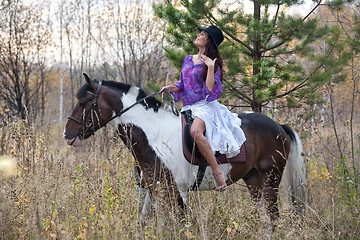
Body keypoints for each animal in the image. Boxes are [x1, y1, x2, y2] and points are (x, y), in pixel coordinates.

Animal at [64, 73, 306, 229]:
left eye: (84, 103)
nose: (68, 134)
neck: (154, 134)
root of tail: (278, 127)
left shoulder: (177, 191)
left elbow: (180, 226)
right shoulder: (155, 191)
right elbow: (157, 225)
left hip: (270, 178)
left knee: (273, 217)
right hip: (253, 179)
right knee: (265, 219)